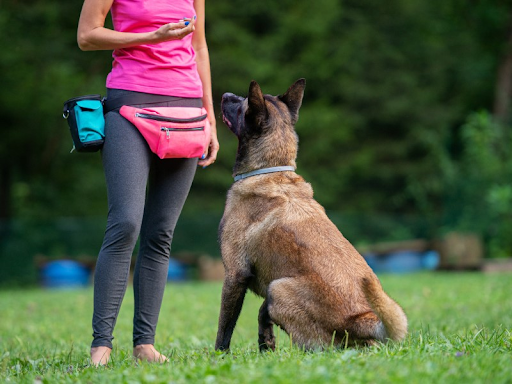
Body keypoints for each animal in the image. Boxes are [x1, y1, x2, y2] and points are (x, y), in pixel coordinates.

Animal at [216, 78, 408, 352]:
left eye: (242, 104)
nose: (225, 94)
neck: (270, 170)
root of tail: (361, 320)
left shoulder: (234, 275)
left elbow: (225, 328)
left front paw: (218, 356)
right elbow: (262, 317)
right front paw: (266, 346)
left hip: (278, 287)